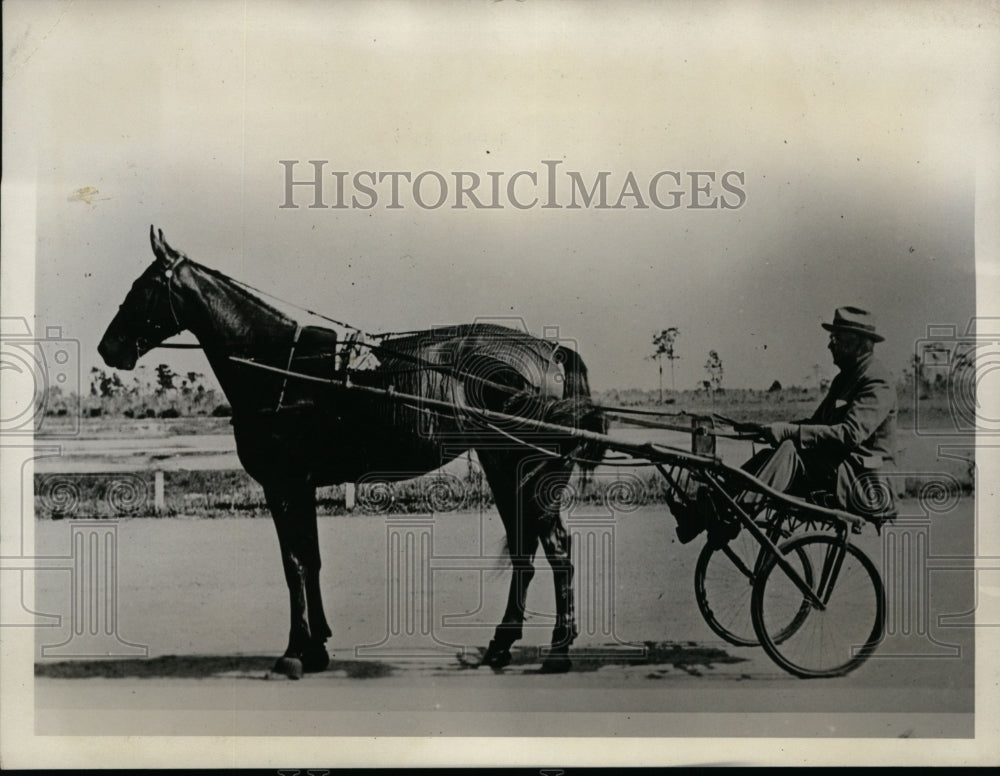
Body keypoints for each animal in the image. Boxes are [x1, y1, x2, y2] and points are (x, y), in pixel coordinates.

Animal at [99, 227, 608, 676]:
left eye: (143, 286)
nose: (109, 348)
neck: (286, 369)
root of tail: (550, 351)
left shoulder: (285, 485)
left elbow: (294, 564)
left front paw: (294, 652)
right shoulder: (301, 486)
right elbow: (311, 560)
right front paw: (316, 647)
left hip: (522, 466)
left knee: (556, 549)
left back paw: (557, 653)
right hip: (505, 467)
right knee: (526, 550)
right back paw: (502, 645)